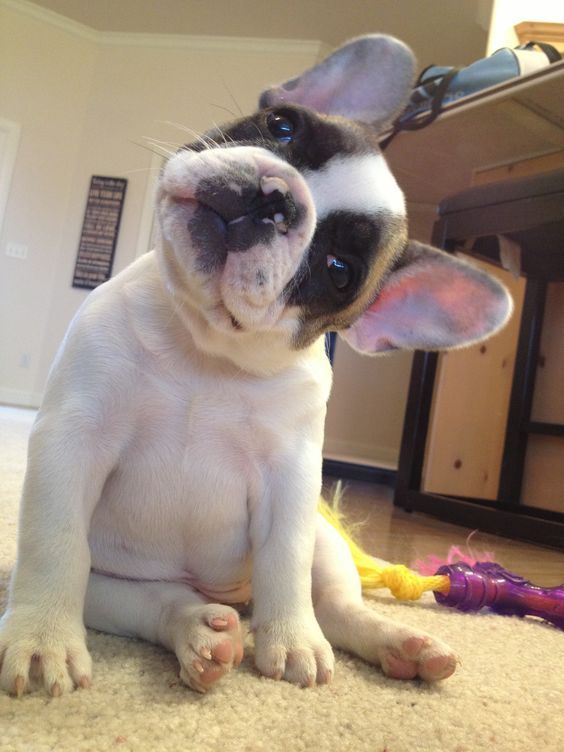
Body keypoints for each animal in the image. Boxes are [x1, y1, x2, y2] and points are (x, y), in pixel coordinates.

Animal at [0, 33, 512, 692]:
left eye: (339, 271)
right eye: (282, 125)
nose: (276, 198)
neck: (204, 351)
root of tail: (231, 600)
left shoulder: (291, 479)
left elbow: (284, 564)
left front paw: (291, 640)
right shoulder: (74, 437)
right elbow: (56, 543)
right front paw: (42, 640)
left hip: (326, 540)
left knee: (334, 605)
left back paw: (398, 642)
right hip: (110, 590)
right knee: (155, 601)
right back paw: (200, 633)